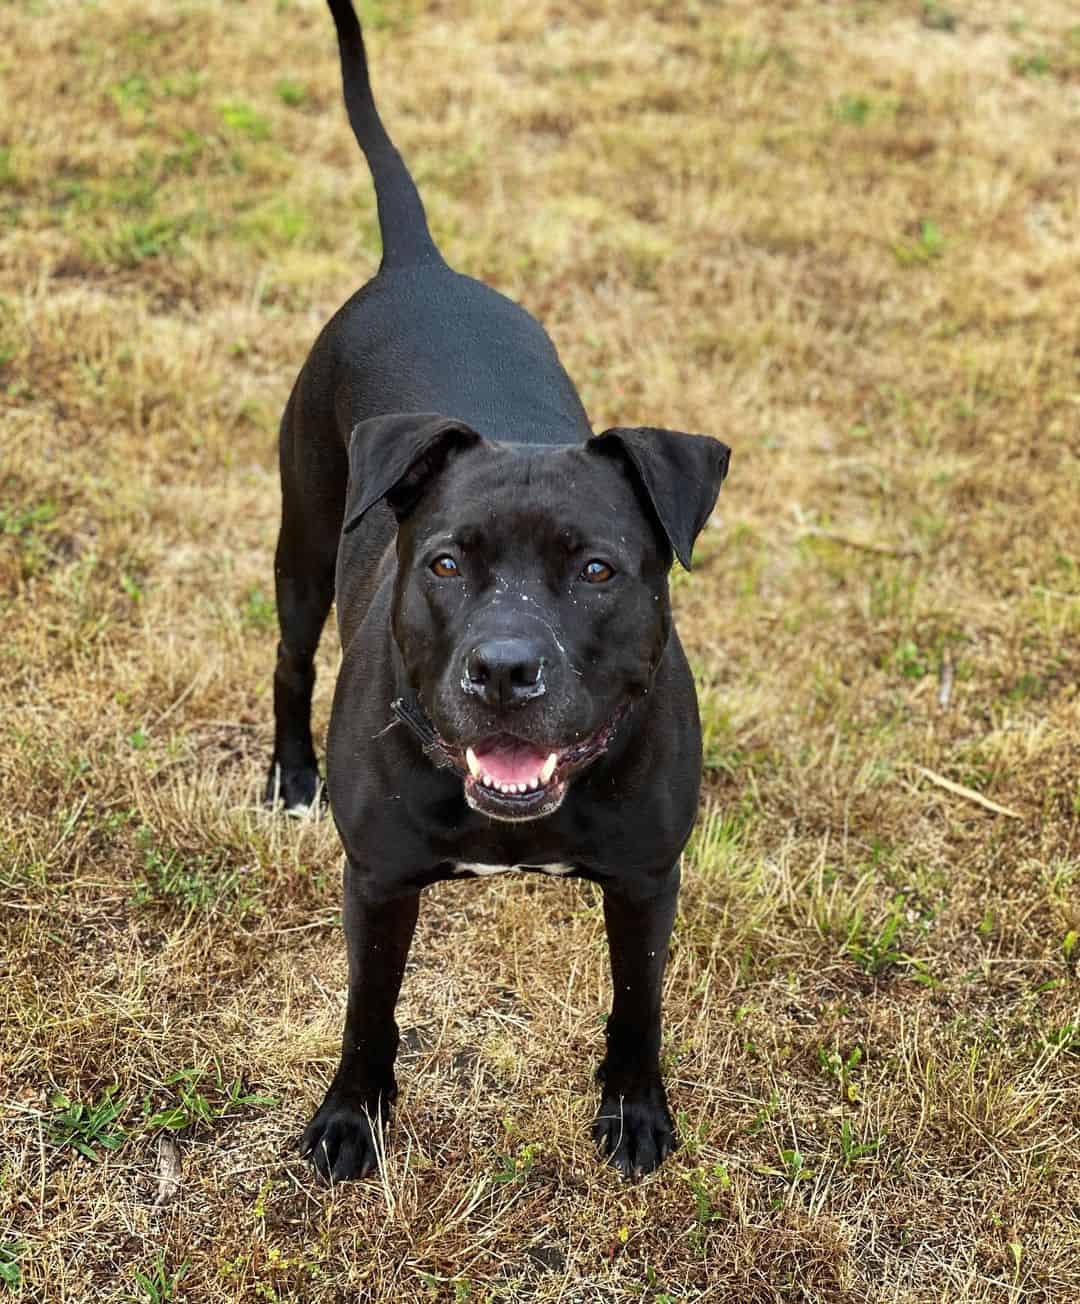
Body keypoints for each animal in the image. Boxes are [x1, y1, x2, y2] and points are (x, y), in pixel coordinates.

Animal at [266, 0, 730, 1184]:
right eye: (443, 562)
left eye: (598, 569)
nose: (507, 668)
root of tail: (417, 263)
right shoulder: (378, 879)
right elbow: (367, 1011)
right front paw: (351, 1118)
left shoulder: (646, 879)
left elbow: (638, 1005)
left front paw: (635, 1110)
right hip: (300, 543)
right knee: (287, 655)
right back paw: (285, 774)